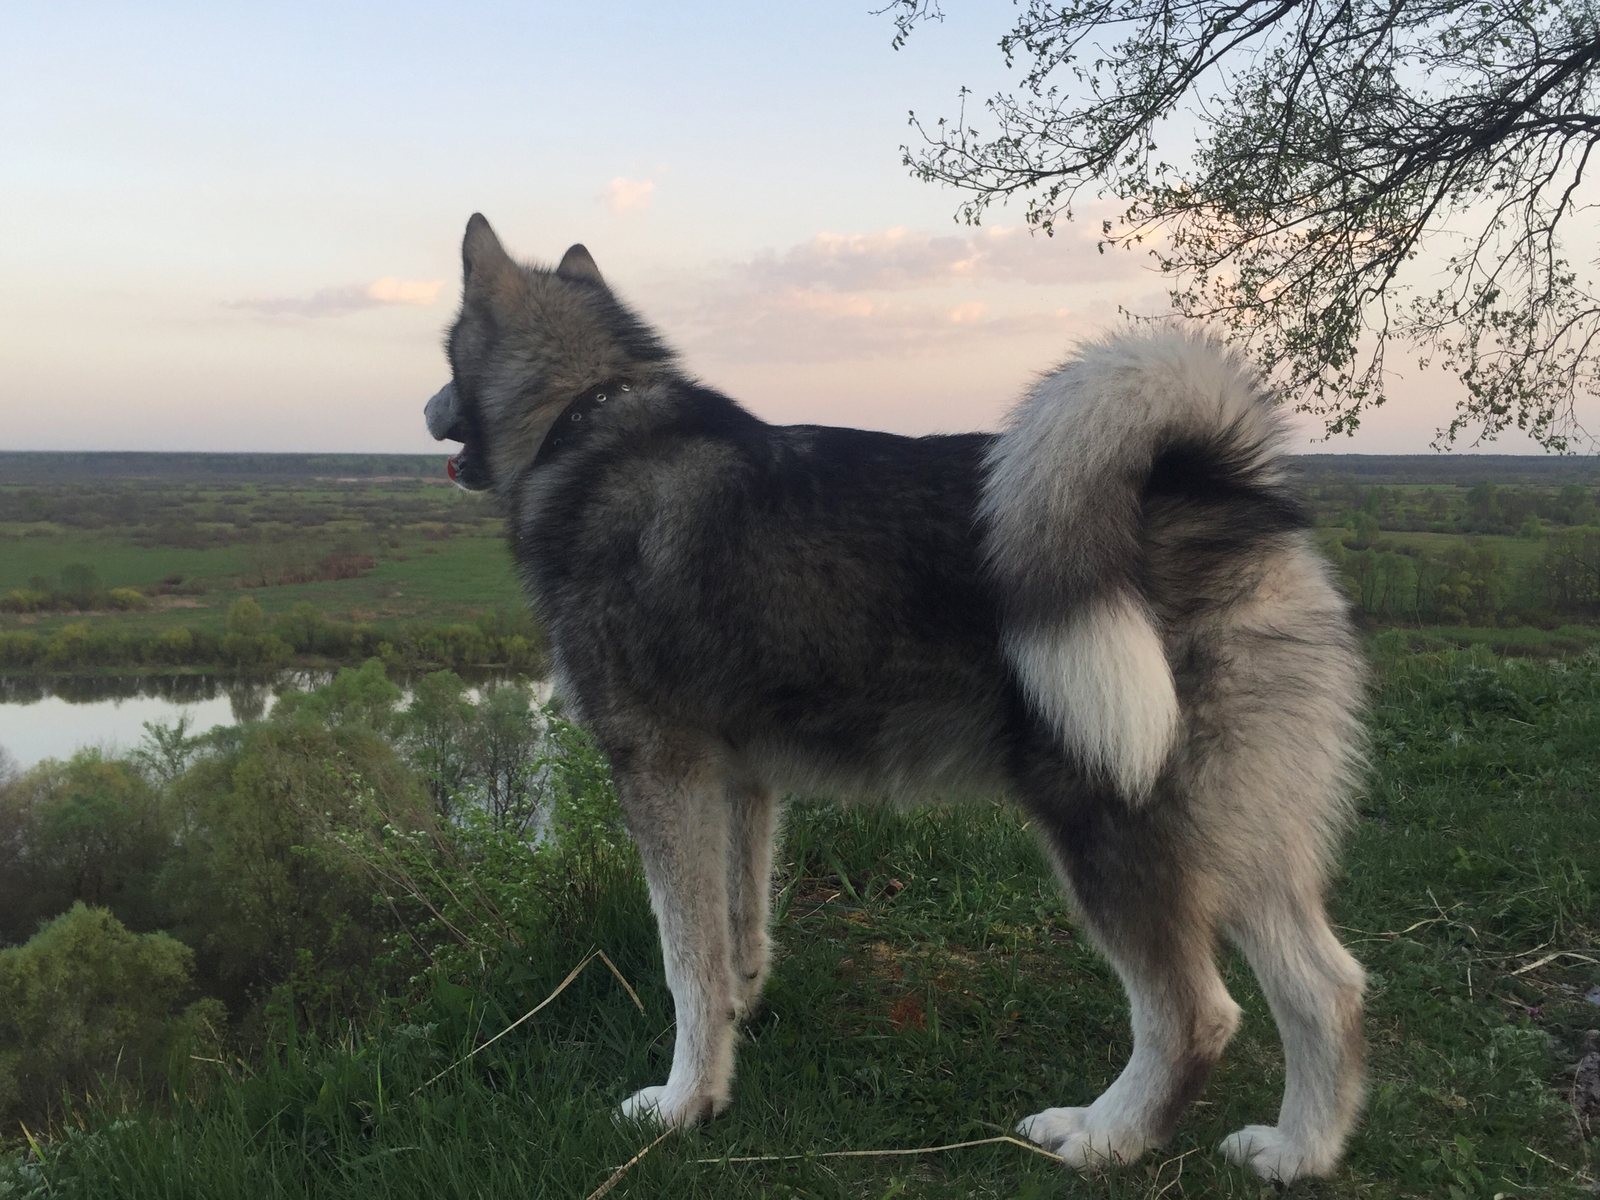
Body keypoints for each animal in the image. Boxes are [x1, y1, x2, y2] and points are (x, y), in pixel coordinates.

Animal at [422, 216, 1363, 1184]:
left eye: (445, 353)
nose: (425, 408)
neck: (587, 418)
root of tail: (1217, 488)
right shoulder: (740, 784)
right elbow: (735, 938)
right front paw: (733, 1035)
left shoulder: (662, 773)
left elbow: (688, 961)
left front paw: (684, 1105)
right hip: (1240, 833)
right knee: (1326, 987)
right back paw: (1297, 1150)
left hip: (1110, 819)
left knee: (1193, 1016)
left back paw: (1105, 1136)